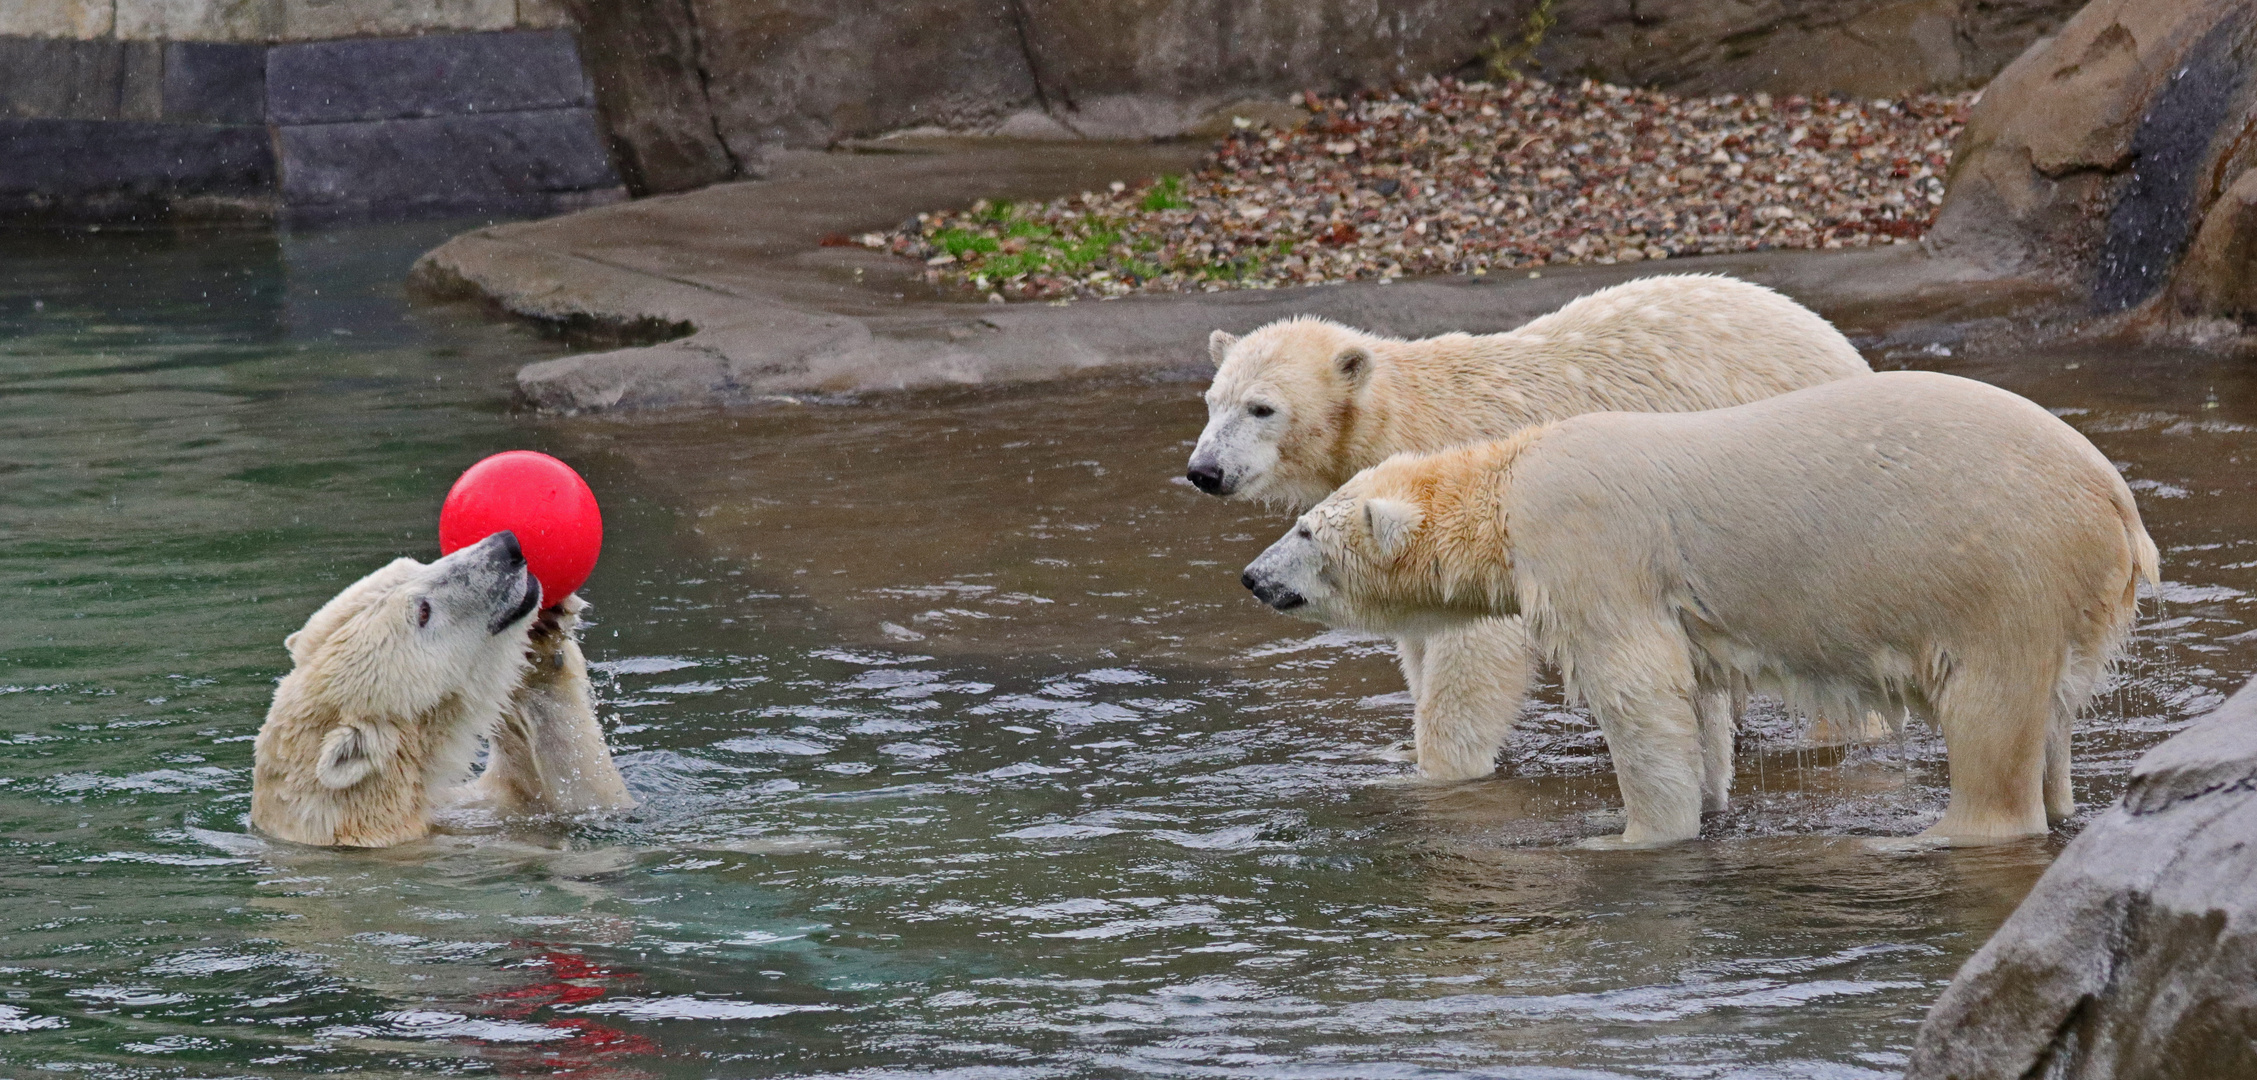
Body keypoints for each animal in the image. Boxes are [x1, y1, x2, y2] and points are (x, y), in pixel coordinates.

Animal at [250, 536, 631, 847]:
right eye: (423, 612)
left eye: (409, 566)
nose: (506, 546)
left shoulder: (477, 809)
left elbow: (586, 794)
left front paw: (544, 636)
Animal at [1191, 275, 1877, 780]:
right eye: (1212, 402)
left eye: (1262, 408)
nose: (1205, 471)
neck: (1405, 417)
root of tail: (1839, 346)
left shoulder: (1468, 506)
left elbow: (1475, 647)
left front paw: (1436, 770)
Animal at [1245, 376, 2157, 847]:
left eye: (1304, 529)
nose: (1253, 578)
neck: (1507, 482)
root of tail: (2117, 504)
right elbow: (1700, 694)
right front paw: (1713, 799)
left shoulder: (1585, 539)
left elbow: (1636, 689)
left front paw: (1633, 834)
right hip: (2070, 598)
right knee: (2053, 718)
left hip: (2000, 572)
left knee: (1989, 714)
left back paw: (1944, 831)